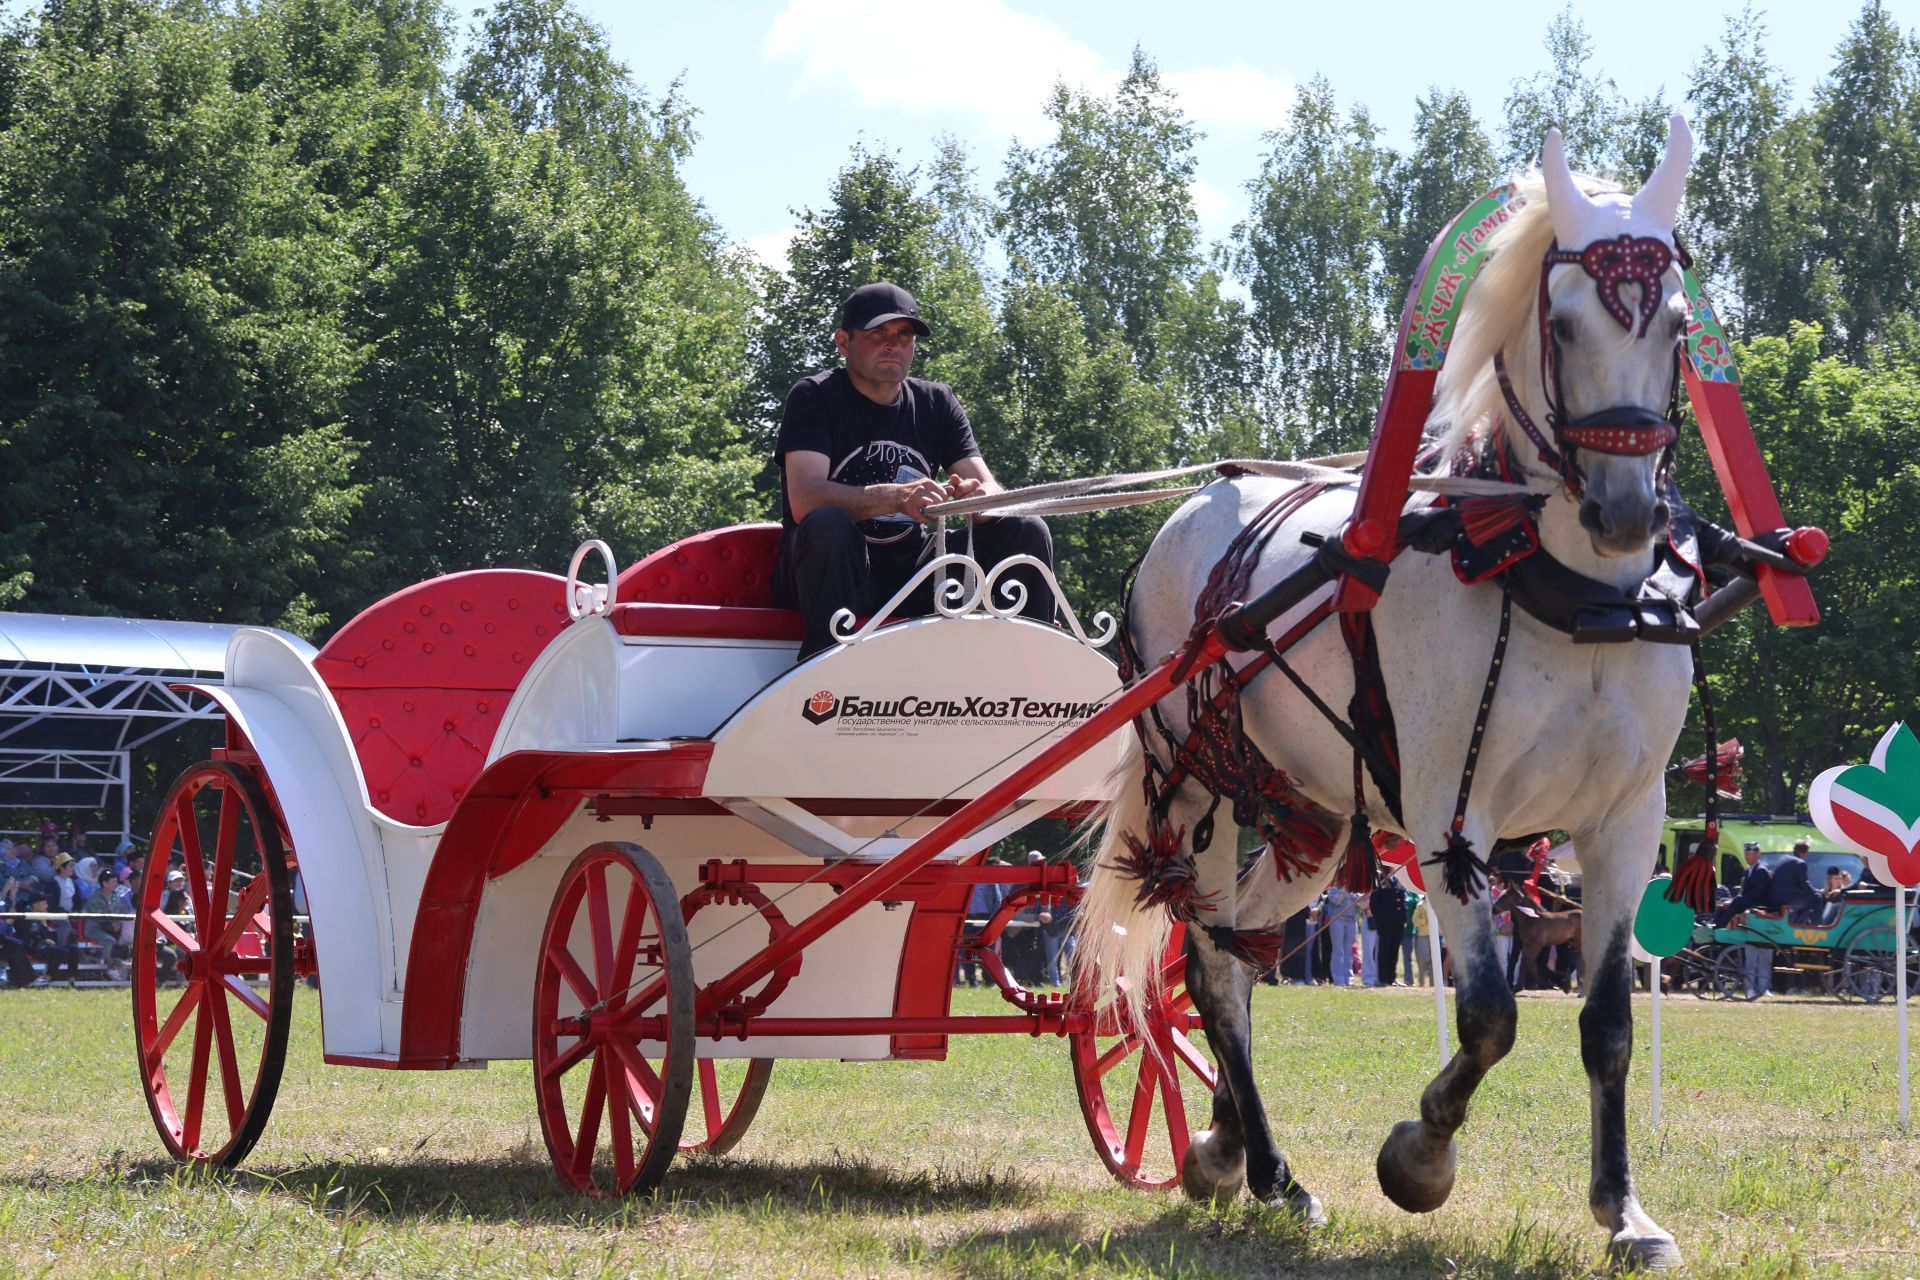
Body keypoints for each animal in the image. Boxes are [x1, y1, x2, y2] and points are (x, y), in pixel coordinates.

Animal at [1082, 122, 1697, 1274]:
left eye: (1678, 324)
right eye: (1561, 322)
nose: (1625, 513)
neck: (1564, 595)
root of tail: (1199, 503)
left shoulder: (1625, 821)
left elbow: (1606, 1024)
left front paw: (1622, 1210)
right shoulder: (1453, 818)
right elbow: (1491, 1013)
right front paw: (1420, 1155)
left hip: (1314, 819)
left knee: (1239, 959)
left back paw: (1236, 1150)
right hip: (1198, 790)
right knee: (1210, 964)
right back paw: (1264, 1163)